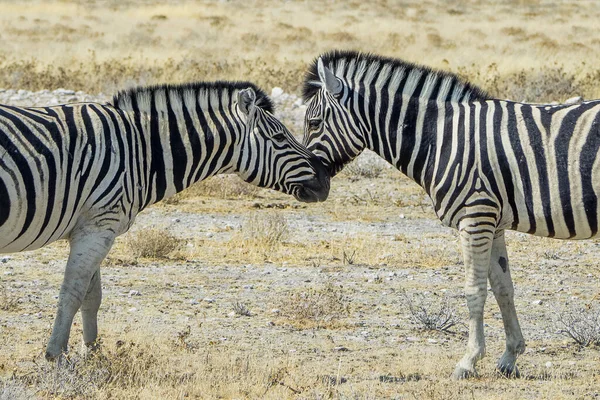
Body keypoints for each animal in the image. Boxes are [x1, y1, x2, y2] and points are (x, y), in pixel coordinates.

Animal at [0, 79, 328, 360]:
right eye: (279, 137)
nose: (325, 179)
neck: (140, 150)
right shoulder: (99, 225)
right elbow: (73, 293)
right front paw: (56, 356)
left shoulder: (93, 226)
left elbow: (92, 297)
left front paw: (91, 353)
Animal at [302, 51, 600, 380]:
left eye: (314, 123)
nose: (309, 189)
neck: (440, 139)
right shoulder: (494, 223)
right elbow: (503, 288)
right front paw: (510, 357)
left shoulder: (476, 217)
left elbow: (474, 291)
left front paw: (468, 361)